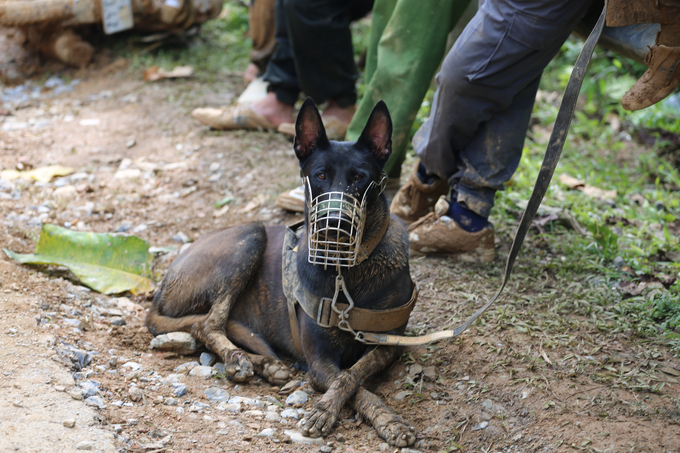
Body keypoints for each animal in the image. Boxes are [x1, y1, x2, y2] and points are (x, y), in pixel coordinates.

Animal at [146, 98, 418, 444]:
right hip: (252, 235)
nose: (334, 223)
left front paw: (386, 420)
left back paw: (264, 365)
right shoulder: (319, 361)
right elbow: (349, 383)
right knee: (208, 324)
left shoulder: (388, 346)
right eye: (320, 175)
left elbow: (353, 374)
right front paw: (334, 411)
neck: (346, 271)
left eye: (359, 177)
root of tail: (160, 290)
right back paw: (238, 360)